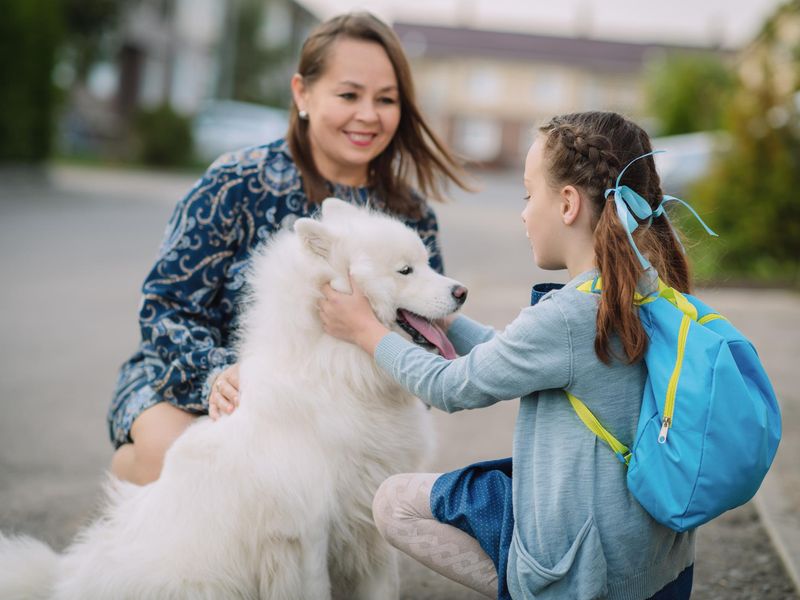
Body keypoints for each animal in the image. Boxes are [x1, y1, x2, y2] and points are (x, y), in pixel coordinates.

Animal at [0, 199, 468, 596]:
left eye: (428, 263)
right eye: (405, 270)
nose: (461, 292)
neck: (339, 371)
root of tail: (69, 579)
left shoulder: (368, 517)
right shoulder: (308, 533)